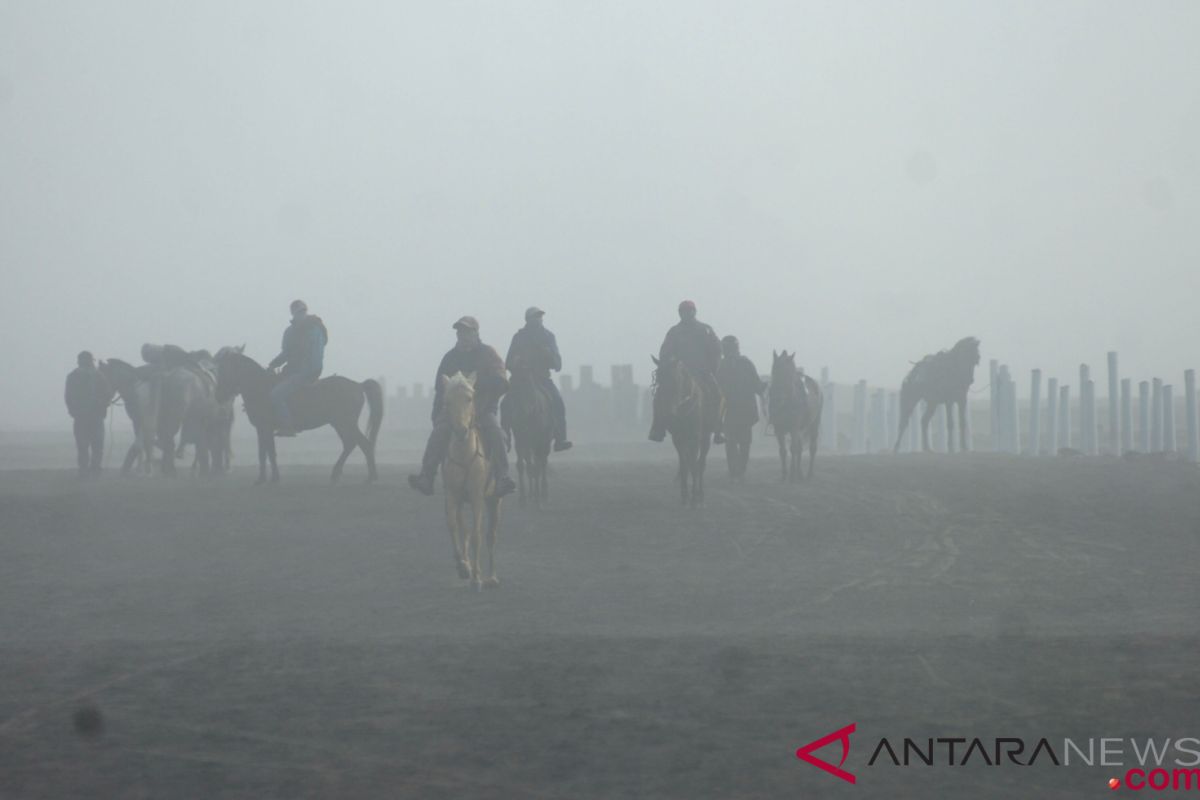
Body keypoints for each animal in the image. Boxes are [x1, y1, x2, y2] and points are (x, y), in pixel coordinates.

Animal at [213, 347, 384, 484]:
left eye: (225, 370)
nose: (219, 396)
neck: (260, 388)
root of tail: (358, 385)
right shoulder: (263, 430)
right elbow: (267, 453)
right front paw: (271, 478)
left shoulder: (264, 428)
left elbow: (266, 453)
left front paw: (264, 479)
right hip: (339, 424)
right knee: (350, 444)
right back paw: (338, 473)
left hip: (345, 423)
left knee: (364, 444)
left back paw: (371, 477)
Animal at [439, 371, 499, 592]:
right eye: (447, 401)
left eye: (469, 398)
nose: (461, 431)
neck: (464, 455)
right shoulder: (452, 495)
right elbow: (453, 526)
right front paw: (463, 567)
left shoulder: (477, 497)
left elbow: (477, 535)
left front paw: (476, 578)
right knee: (463, 528)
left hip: (494, 500)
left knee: (491, 536)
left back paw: (492, 577)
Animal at [508, 367, 559, 510]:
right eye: (512, 386)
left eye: (529, 386)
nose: (520, 413)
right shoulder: (520, 439)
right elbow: (522, 465)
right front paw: (523, 498)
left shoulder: (539, 440)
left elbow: (537, 466)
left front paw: (537, 500)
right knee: (531, 465)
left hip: (544, 442)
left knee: (542, 463)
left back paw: (543, 494)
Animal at [652, 357, 715, 506]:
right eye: (659, 379)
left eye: (676, 380)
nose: (669, 413)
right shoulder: (678, 438)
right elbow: (684, 463)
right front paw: (685, 495)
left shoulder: (695, 437)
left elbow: (694, 464)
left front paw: (694, 498)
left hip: (705, 437)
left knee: (701, 463)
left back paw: (700, 493)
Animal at [768, 352, 825, 482]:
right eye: (774, 370)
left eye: (787, 374)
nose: (776, 397)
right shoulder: (779, 429)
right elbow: (783, 451)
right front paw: (784, 474)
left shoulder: (794, 428)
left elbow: (793, 449)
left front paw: (792, 475)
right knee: (799, 447)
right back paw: (800, 473)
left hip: (814, 425)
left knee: (812, 448)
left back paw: (809, 473)